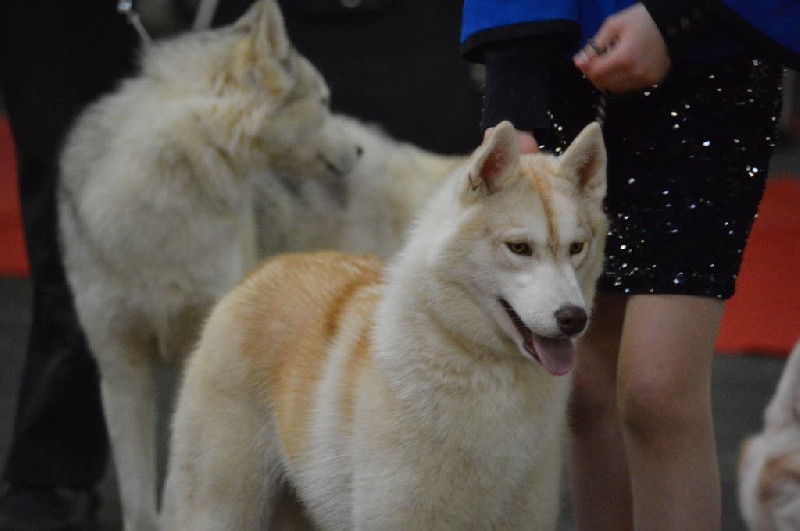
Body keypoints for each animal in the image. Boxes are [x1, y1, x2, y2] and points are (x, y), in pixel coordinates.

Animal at [166, 122, 608, 528]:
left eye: (576, 248)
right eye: (519, 248)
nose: (573, 318)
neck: (481, 371)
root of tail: (265, 270)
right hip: (220, 508)